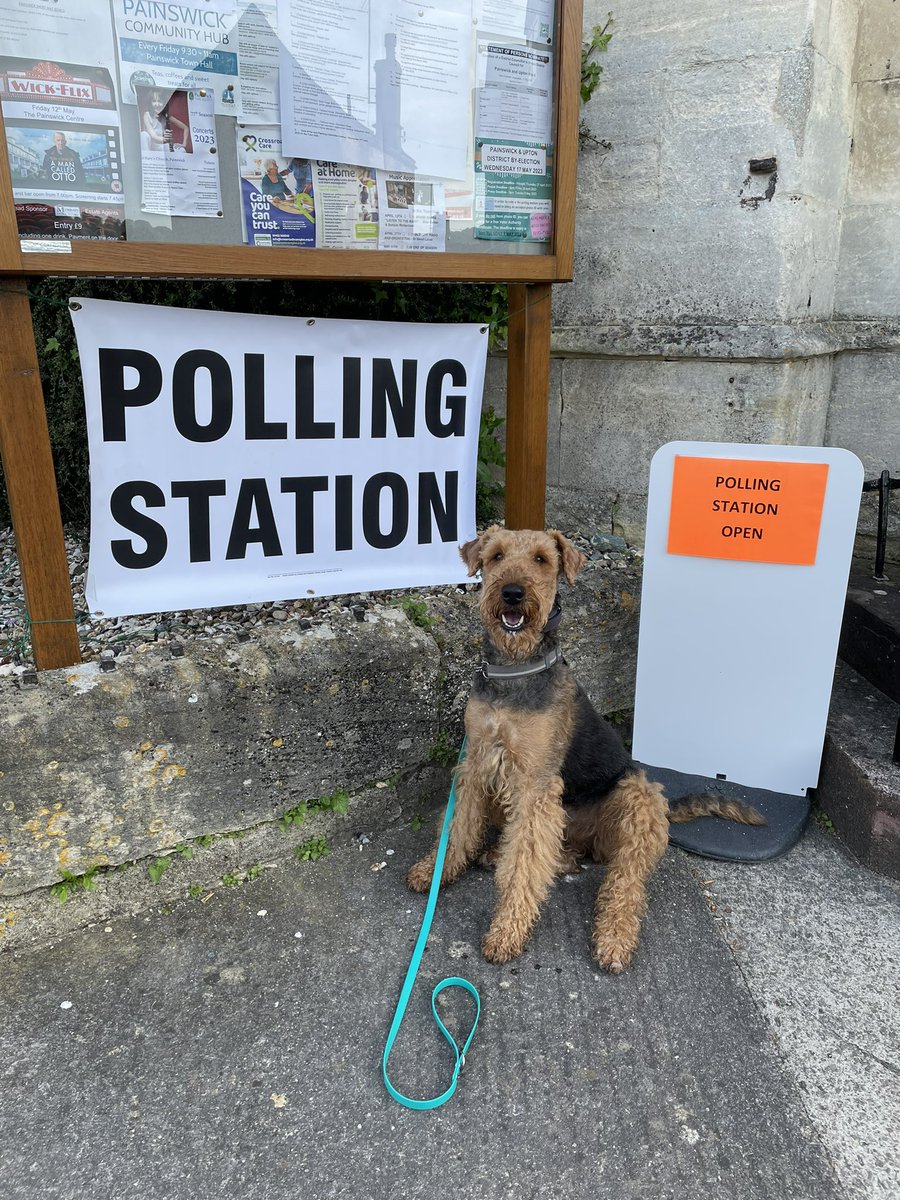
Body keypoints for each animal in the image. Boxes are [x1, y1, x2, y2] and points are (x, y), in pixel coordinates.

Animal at [408, 528, 768, 974]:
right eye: (496, 556)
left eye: (542, 559)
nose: (512, 593)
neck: (515, 669)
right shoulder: (477, 763)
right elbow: (458, 829)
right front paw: (435, 871)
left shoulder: (535, 785)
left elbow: (523, 867)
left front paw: (507, 932)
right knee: (559, 856)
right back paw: (501, 853)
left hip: (638, 797)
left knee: (622, 881)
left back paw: (613, 939)